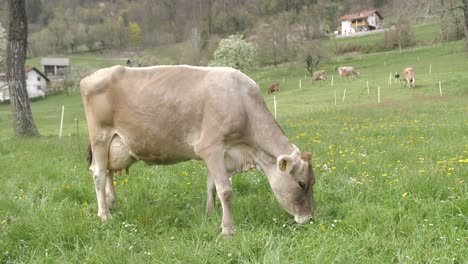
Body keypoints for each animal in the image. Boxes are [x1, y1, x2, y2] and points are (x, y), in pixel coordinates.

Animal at [80, 65, 316, 235]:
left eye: (313, 182)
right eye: (301, 183)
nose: (310, 218)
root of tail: (89, 78)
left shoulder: (221, 154)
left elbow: (212, 186)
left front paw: (210, 215)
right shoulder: (211, 147)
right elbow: (225, 190)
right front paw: (228, 229)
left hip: (114, 145)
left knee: (108, 171)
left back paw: (110, 202)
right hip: (100, 136)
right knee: (99, 174)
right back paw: (104, 215)